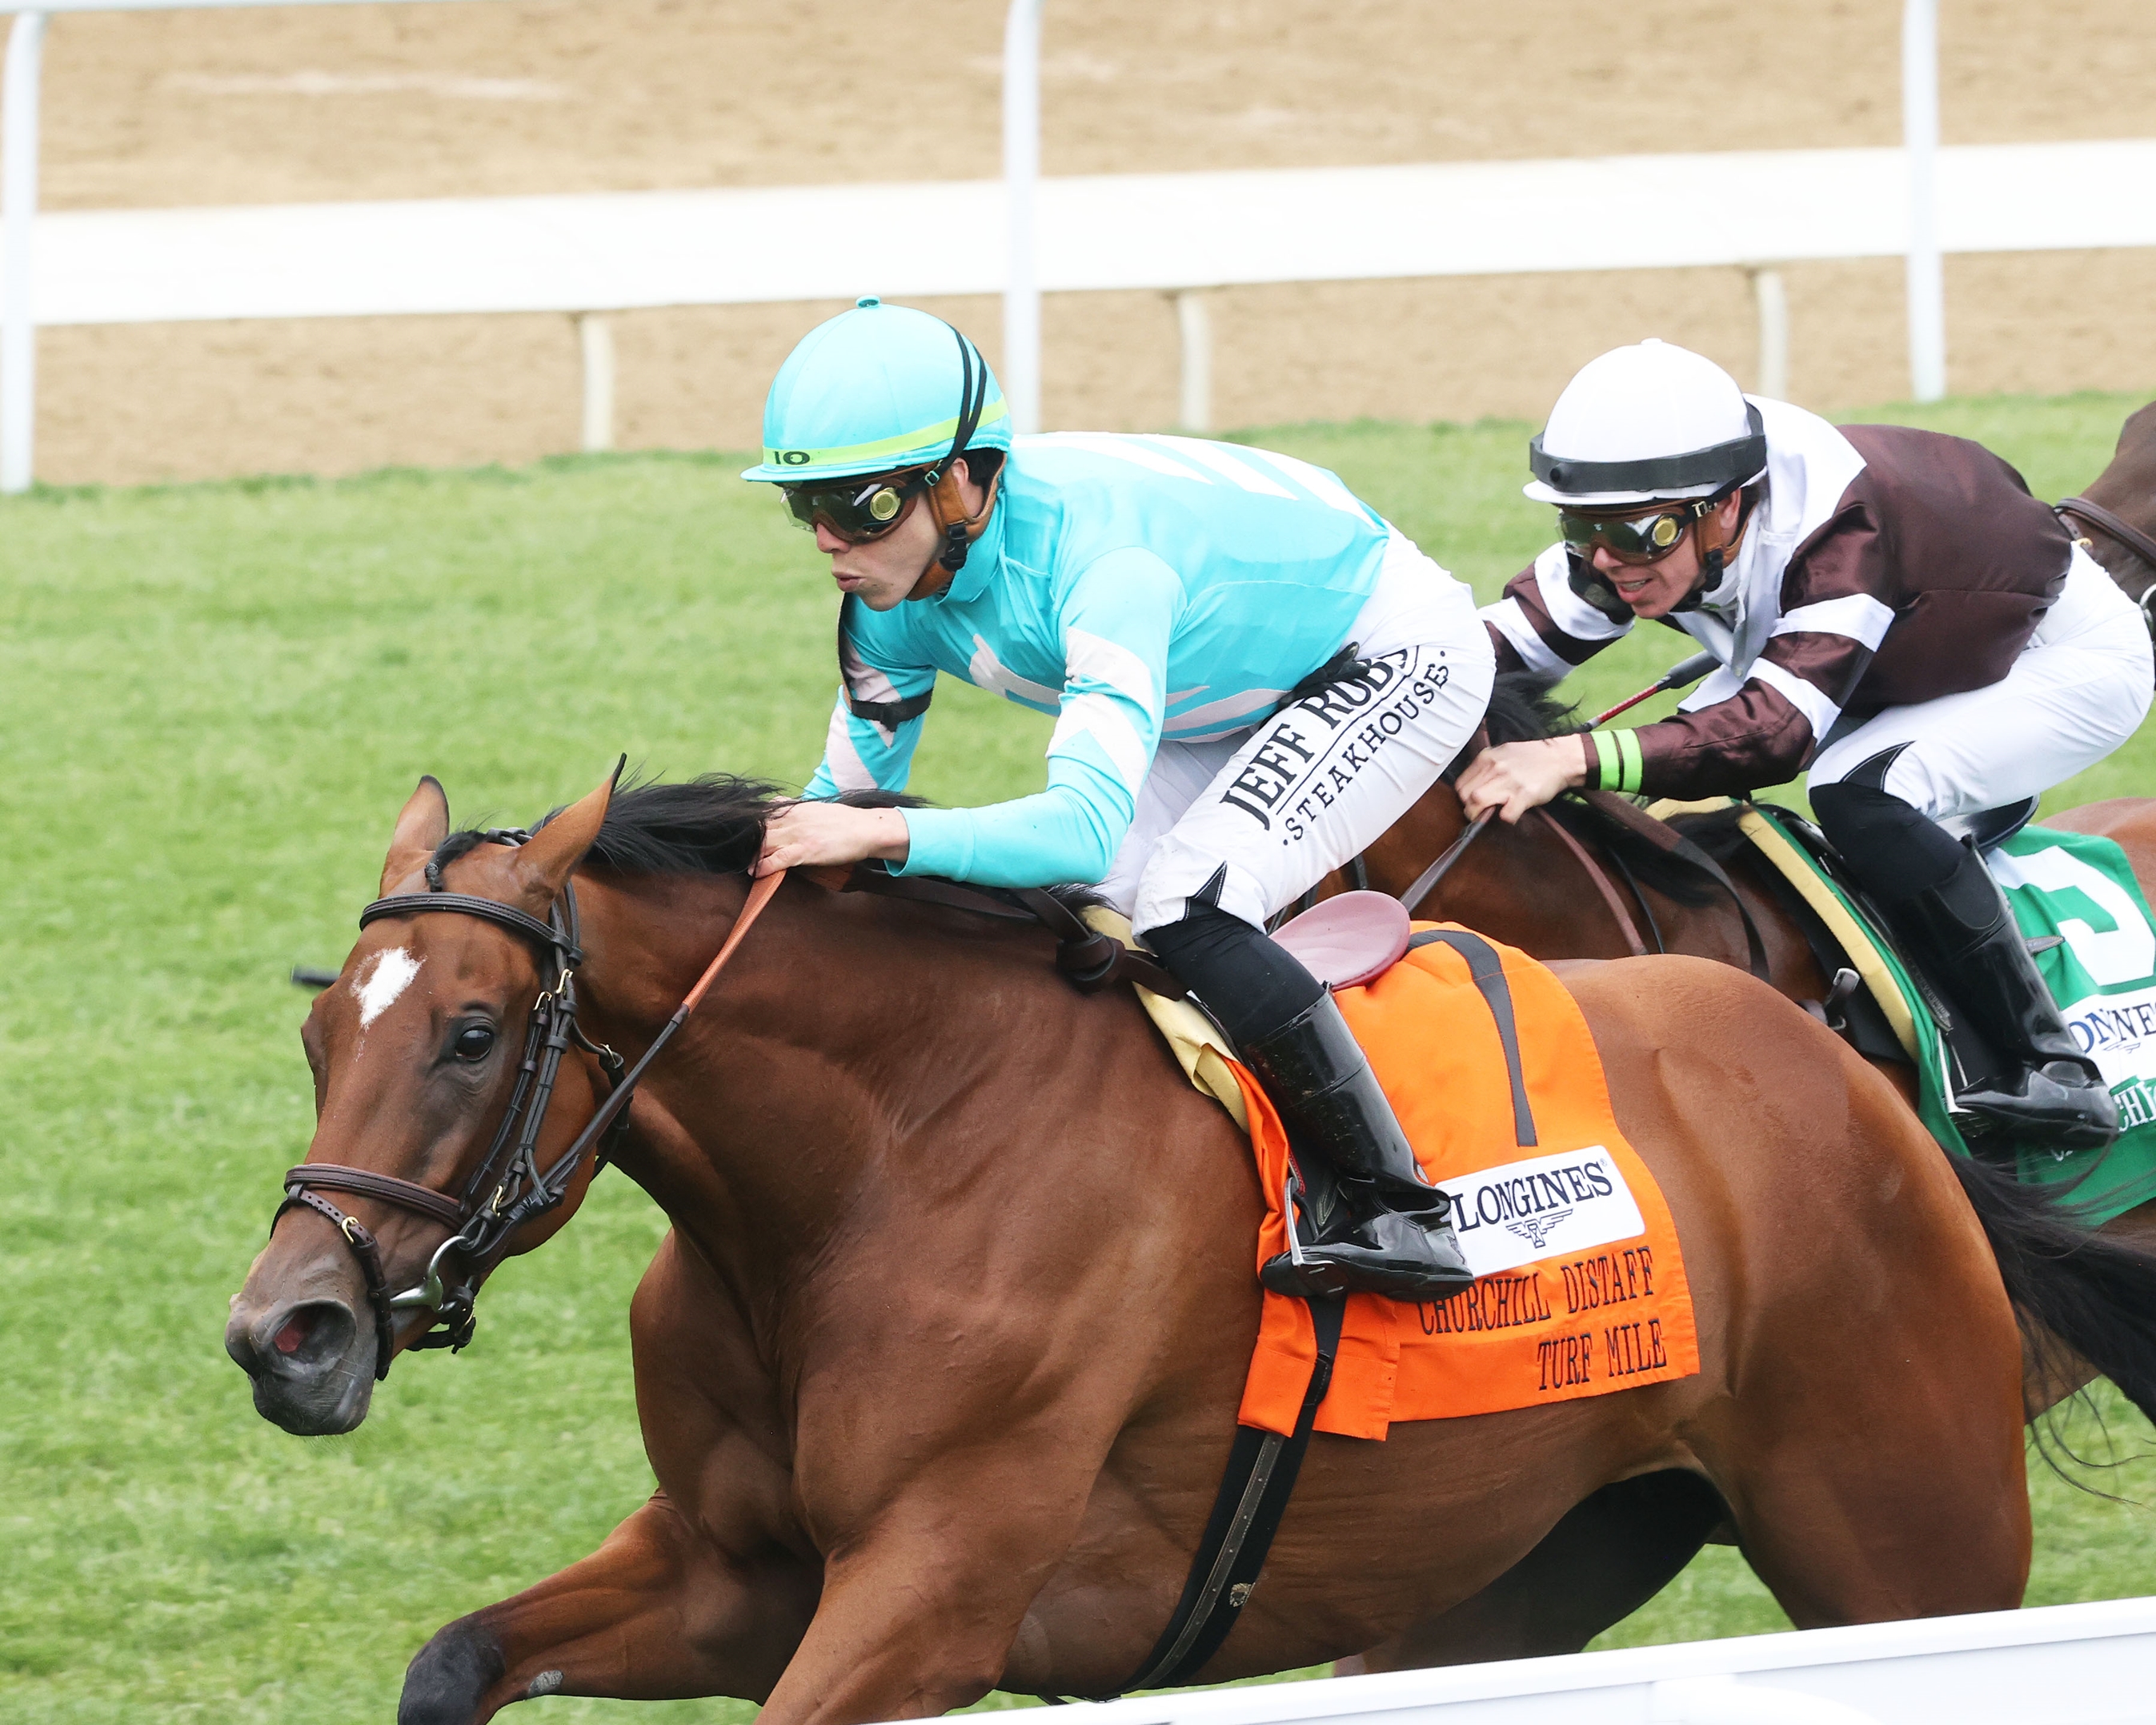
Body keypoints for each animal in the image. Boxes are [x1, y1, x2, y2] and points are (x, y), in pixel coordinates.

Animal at [222, 772, 2156, 1725]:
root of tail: (1861, 1095)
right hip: (1518, 1565)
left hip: (1904, 1546)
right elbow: (454, 1663)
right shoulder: (733, 1573)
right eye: (321, 1030)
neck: (875, 1169)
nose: (284, 1332)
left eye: (473, 1033)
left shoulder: (930, 1598)